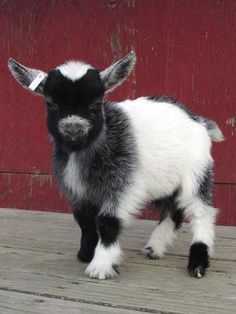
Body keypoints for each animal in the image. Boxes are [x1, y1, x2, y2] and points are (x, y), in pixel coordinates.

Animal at [8, 51, 224, 280]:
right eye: (51, 104)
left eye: (95, 104)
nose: (73, 129)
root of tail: (198, 121)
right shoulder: (79, 192)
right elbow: (84, 220)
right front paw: (86, 253)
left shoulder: (123, 185)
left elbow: (107, 221)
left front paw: (101, 266)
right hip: (164, 180)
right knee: (171, 211)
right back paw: (154, 248)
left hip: (197, 173)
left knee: (201, 212)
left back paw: (198, 263)